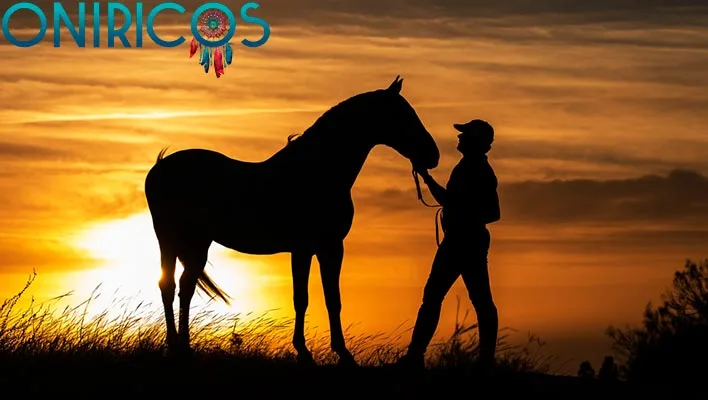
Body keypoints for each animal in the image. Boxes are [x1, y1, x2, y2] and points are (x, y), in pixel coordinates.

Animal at [144, 76, 440, 365]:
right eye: (401, 115)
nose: (433, 155)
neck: (317, 171)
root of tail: (159, 167)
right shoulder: (307, 248)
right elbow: (303, 299)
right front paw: (307, 352)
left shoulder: (328, 248)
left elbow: (332, 299)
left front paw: (341, 353)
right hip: (182, 242)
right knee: (175, 286)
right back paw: (179, 348)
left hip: (185, 243)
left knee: (178, 286)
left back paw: (181, 347)